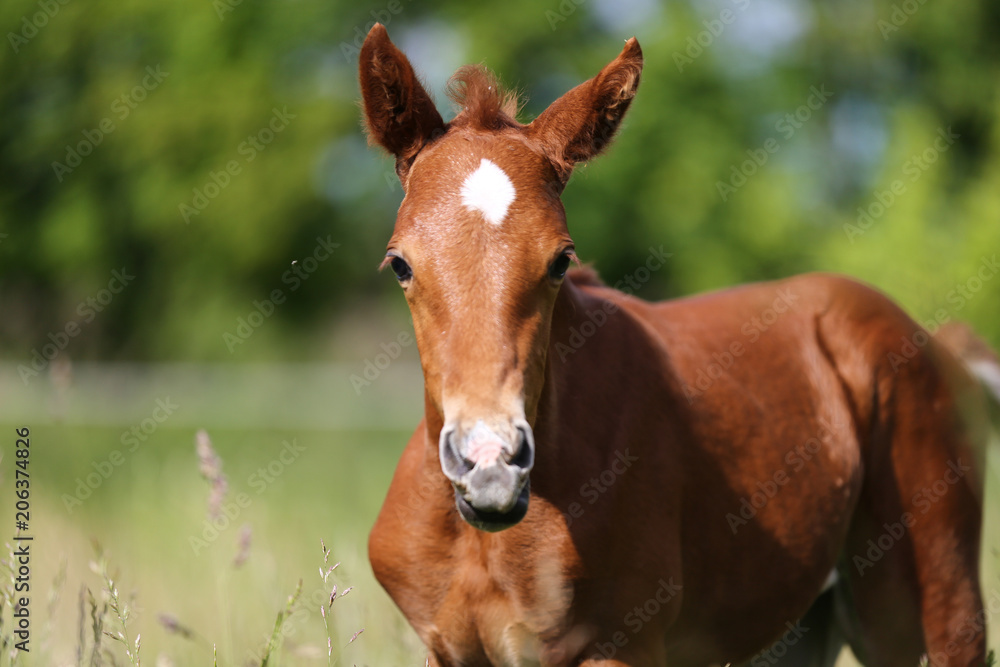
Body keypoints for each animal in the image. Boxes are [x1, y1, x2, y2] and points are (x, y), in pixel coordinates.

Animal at [358, 23, 997, 666]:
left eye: (562, 260)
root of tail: (936, 346)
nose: (491, 466)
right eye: (400, 265)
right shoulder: (448, 650)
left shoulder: (624, 642)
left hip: (936, 602)